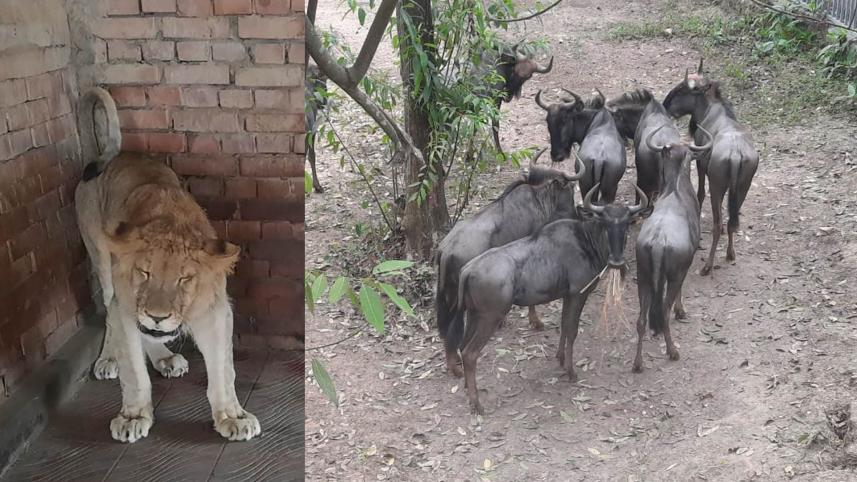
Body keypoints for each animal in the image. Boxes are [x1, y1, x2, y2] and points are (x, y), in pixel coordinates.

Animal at [74, 87, 260, 443]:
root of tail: (113, 154)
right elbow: (134, 373)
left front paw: (233, 417)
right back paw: (109, 358)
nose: (157, 317)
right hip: (101, 259)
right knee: (109, 312)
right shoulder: (127, 304)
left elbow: (223, 370)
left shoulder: (216, 311)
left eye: (184, 279)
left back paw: (165, 358)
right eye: (144, 273)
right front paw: (133, 417)